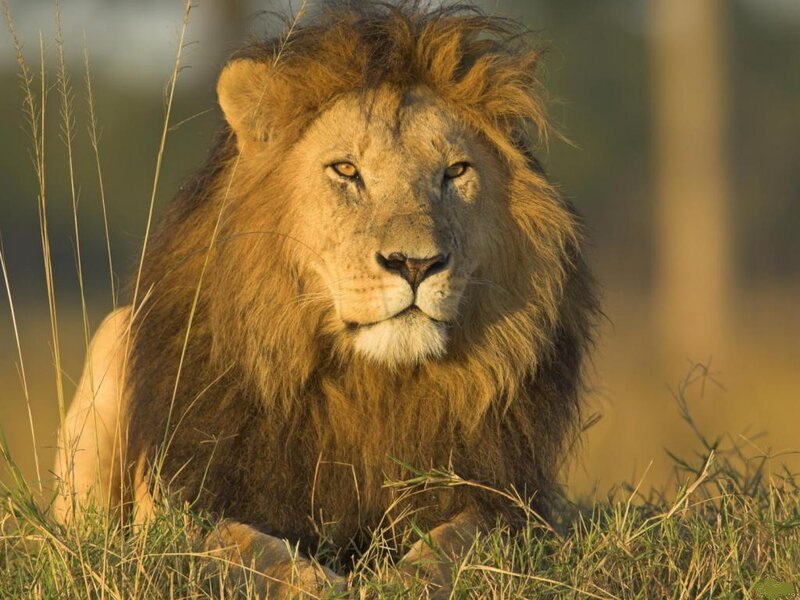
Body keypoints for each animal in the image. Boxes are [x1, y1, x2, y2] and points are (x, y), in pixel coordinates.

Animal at [54, 1, 598, 596]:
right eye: (346, 170)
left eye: (455, 172)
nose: (415, 264)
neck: (372, 386)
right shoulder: (185, 497)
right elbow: (242, 546)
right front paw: (314, 582)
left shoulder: (509, 499)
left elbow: (459, 540)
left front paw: (405, 580)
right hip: (113, 340)